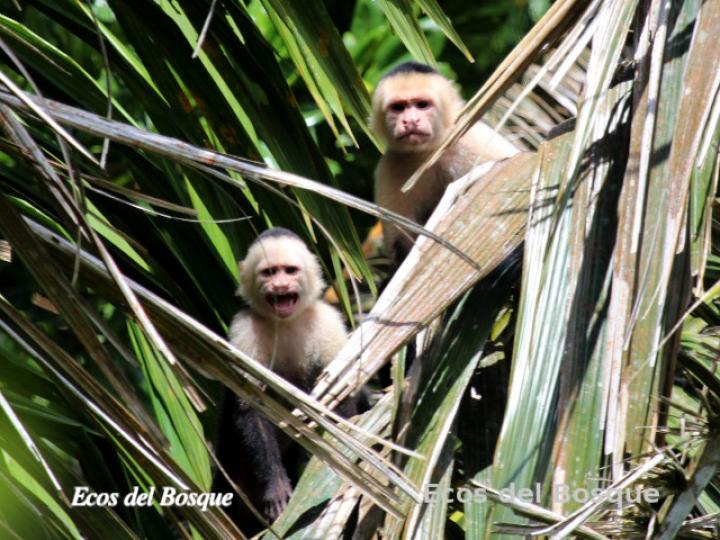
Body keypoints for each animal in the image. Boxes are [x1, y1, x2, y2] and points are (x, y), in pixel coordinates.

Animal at [213, 227, 364, 533]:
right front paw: (277, 486)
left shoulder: (328, 322)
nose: (281, 285)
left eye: (290, 271)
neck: (286, 320)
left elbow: (339, 398)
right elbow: (251, 406)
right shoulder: (244, 329)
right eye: (269, 272)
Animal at [372, 62, 519, 265]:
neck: (429, 154)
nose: (410, 121)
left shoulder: (470, 139)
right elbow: (402, 244)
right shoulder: (389, 167)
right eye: (398, 107)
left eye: (422, 104)